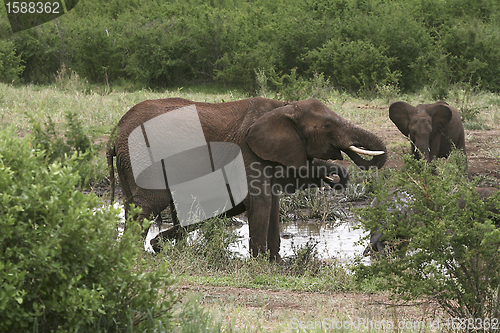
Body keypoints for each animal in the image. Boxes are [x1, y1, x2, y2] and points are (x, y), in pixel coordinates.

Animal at [106, 96, 386, 260]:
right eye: (328, 126)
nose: (338, 177)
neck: (285, 106)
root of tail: (116, 130)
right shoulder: (248, 152)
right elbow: (260, 202)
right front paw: (260, 262)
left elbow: (272, 202)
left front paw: (275, 262)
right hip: (144, 158)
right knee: (147, 206)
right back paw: (137, 255)